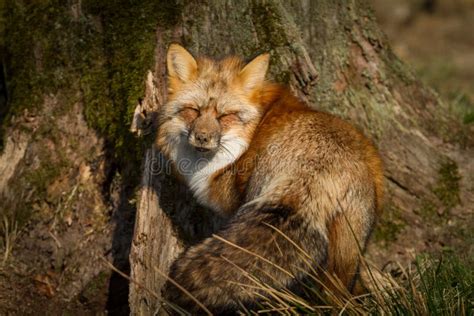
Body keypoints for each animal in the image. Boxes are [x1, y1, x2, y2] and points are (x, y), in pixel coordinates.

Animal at [157, 44, 384, 314]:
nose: (202, 137)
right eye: (193, 111)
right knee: (337, 295)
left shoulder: (232, 207)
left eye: (225, 116)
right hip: (348, 252)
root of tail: (316, 171)